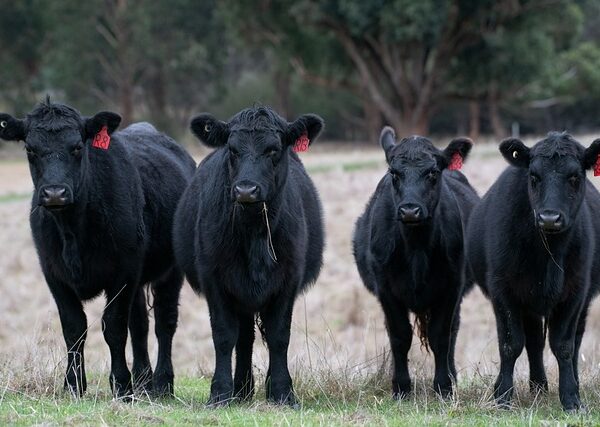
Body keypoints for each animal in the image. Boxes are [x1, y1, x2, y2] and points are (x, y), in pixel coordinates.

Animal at [0, 99, 196, 398]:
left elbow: (113, 326)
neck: (73, 231)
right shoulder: (53, 273)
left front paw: (121, 384)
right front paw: (73, 384)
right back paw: (143, 382)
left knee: (165, 322)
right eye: (30, 149)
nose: (55, 193)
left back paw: (162, 384)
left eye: (77, 147)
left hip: (170, 271)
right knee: (140, 324)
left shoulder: (123, 272)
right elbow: (74, 327)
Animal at [173, 105, 324, 406]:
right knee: (244, 338)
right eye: (232, 149)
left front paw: (283, 392)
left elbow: (279, 336)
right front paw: (220, 393)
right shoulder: (214, 279)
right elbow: (223, 336)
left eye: (273, 149)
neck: (254, 231)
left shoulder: (288, 281)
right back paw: (241, 390)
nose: (246, 190)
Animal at [354, 126, 476, 398]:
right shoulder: (386, 290)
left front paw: (443, 387)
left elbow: (441, 336)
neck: (416, 248)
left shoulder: (451, 287)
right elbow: (400, 336)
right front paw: (401, 387)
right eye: (394, 173)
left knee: (453, 330)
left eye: (432, 172)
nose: (410, 210)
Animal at [468, 133, 600, 412]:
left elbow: (564, 346)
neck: (548, 253)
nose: (549, 218)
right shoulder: (503, 291)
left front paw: (571, 398)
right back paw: (537, 386)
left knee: (574, 340)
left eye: (575, 176)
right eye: (534, 176)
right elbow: (510, 344)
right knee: (534, 342)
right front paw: (502, 397)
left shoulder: (575, 292)